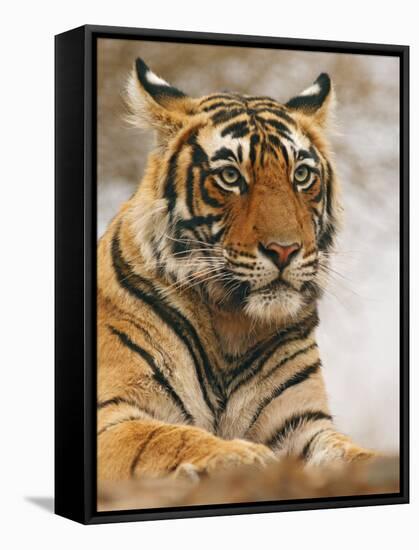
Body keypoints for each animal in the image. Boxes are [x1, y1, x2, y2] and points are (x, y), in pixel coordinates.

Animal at [97, 58, 376, 486]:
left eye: (301, 176)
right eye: (230, 177)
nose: (285, 250)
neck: (231, 324)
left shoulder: (303, 422)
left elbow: (351, 453)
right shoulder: (111, 413)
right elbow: (164, 437)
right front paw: (240, 455)